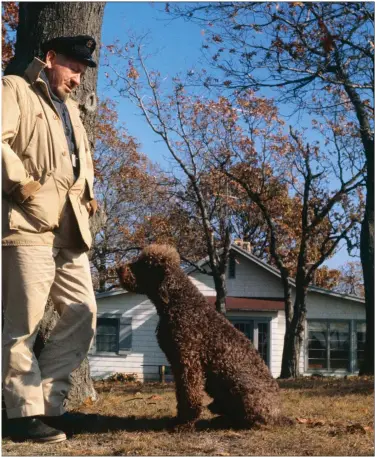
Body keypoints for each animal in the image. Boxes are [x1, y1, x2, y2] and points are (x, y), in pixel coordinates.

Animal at [119, 244, 286, 430]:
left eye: (144, 264)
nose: (119, 269)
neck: (180, 302)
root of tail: (280, 415)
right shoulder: (177, 362)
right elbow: (181, 394)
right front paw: (180, 419)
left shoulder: (188, 361)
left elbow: (189, 395)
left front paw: (185, 422)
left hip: (239, 386)